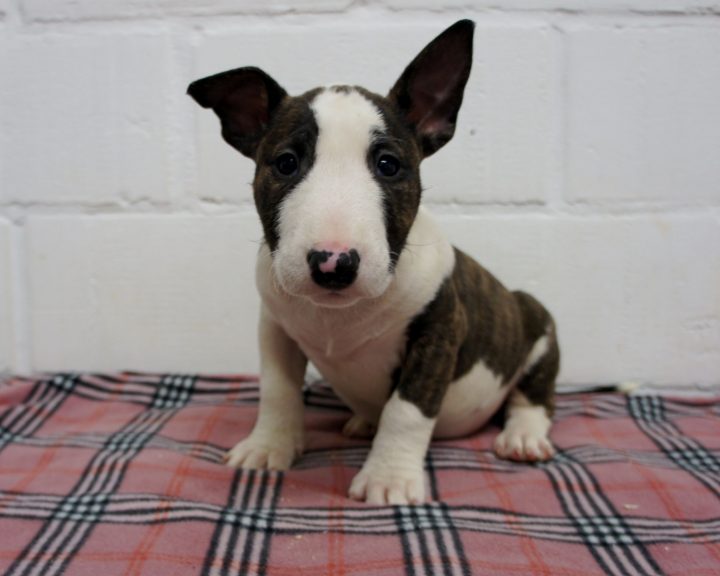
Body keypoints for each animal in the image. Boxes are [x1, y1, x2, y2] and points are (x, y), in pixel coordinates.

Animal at [188, 19, 560, 504]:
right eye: (286, 163)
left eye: (388, 164)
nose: (333, 263)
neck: (338, 316)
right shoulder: (275, 326)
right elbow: (277, 390)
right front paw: (267, 448)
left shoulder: (440, 331)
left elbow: (407, 409)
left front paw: (388, 479)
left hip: (537, 323)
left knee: (534, 396)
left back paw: (523, 437)